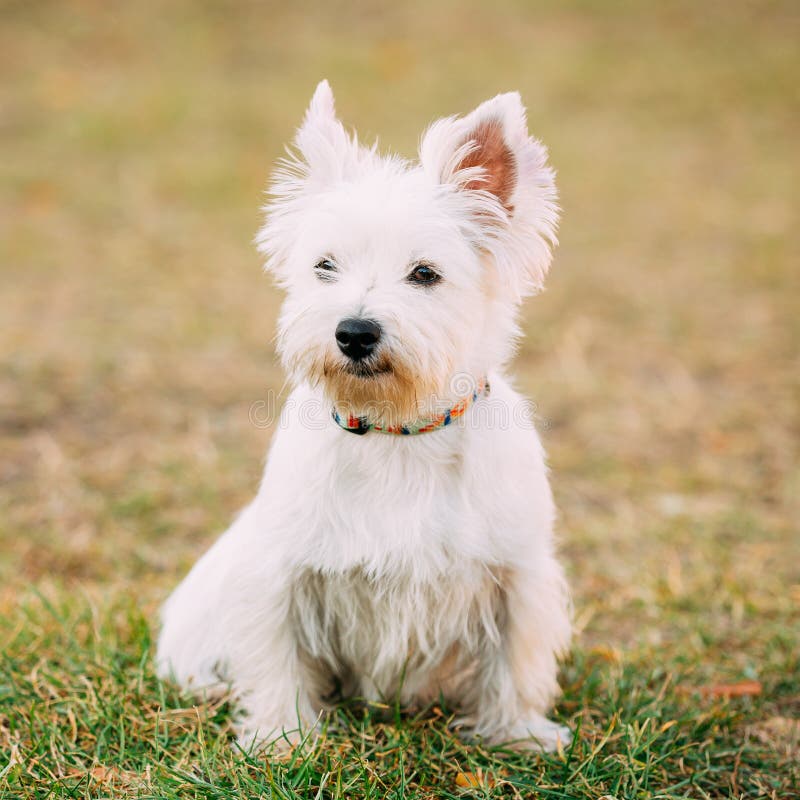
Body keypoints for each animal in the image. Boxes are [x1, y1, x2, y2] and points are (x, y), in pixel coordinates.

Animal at [155, 81, 568, 752]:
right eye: (325, 265)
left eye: (425, 273)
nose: (354, 333)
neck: (397, 431)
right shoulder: (281, 573)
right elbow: (276, 657)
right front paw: (280, 739)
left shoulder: (516, 571)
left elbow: (516, 657)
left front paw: (517, 733)